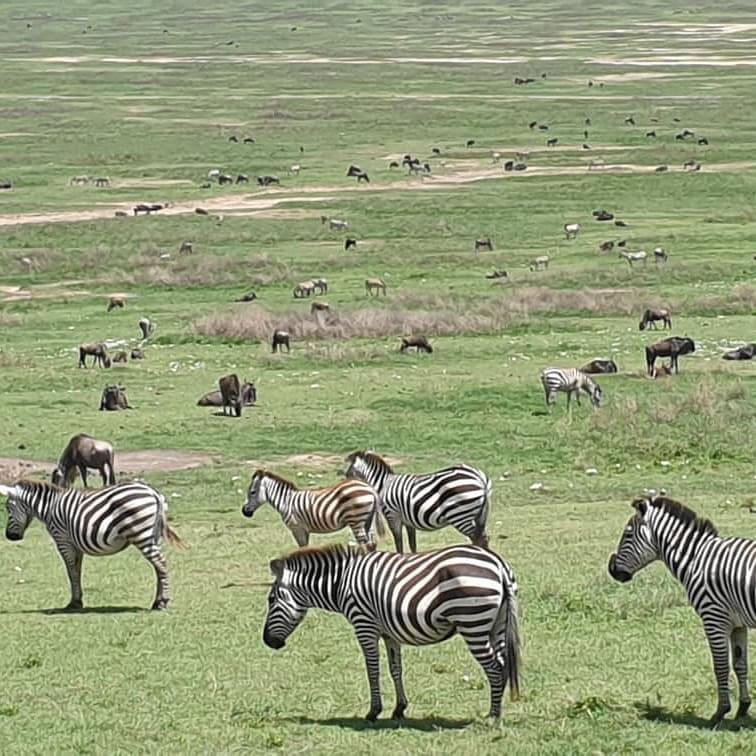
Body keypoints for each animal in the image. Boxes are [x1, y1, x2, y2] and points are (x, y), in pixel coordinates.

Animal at [0, 480, 183, 610]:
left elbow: (71, 571)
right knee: (158, 566)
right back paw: (157, 601)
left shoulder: (62, 540)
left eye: (8, 508)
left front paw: (74, 603)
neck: (49, 508)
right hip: (153, 535)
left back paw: (162, 603)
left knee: (160, 563)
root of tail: (152, 492)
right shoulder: (76, 544)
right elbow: (77, 570)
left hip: (141, 533)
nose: (10, 537)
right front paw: (78, 600)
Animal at [241, 470, 384, 549]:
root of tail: (368, 488)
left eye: (252, 492)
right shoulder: (304, 530)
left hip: (356, 520)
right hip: (367, 520)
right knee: (371, 544)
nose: (244, 511)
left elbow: (303, 548)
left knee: (364, 544)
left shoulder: (297, 528)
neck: (286, 502)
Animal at [262, 543, 520, 721]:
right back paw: (498, 709)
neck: (341, 583)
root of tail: (497, 563)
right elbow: (395, 669)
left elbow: (372, 670)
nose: (267, 642)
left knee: (494, 667)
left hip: (473, 623)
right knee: (503, 664)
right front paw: (399, 708)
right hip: (496, 624)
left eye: (271, 599)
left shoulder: (364, 625)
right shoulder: (389, 633)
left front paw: (373, 712)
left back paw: (493, 716)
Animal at [344, 451, 491, 552]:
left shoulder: (393, 516)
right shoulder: (408, 521)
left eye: (348, 473)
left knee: (477, 538)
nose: (347, 487)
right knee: (483, 538)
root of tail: (479, 477)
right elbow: (412, 544)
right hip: (479, 515)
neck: (383, 485)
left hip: (460, 515)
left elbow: (399, 542)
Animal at [608, 493, 756, 728]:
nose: (612, 570)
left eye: (628, 534)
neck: (696, 558)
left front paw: (720, 712)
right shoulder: (737, 624)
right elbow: (740, 664)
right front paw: (743, 708)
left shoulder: (713, 618)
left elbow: (720, 666)